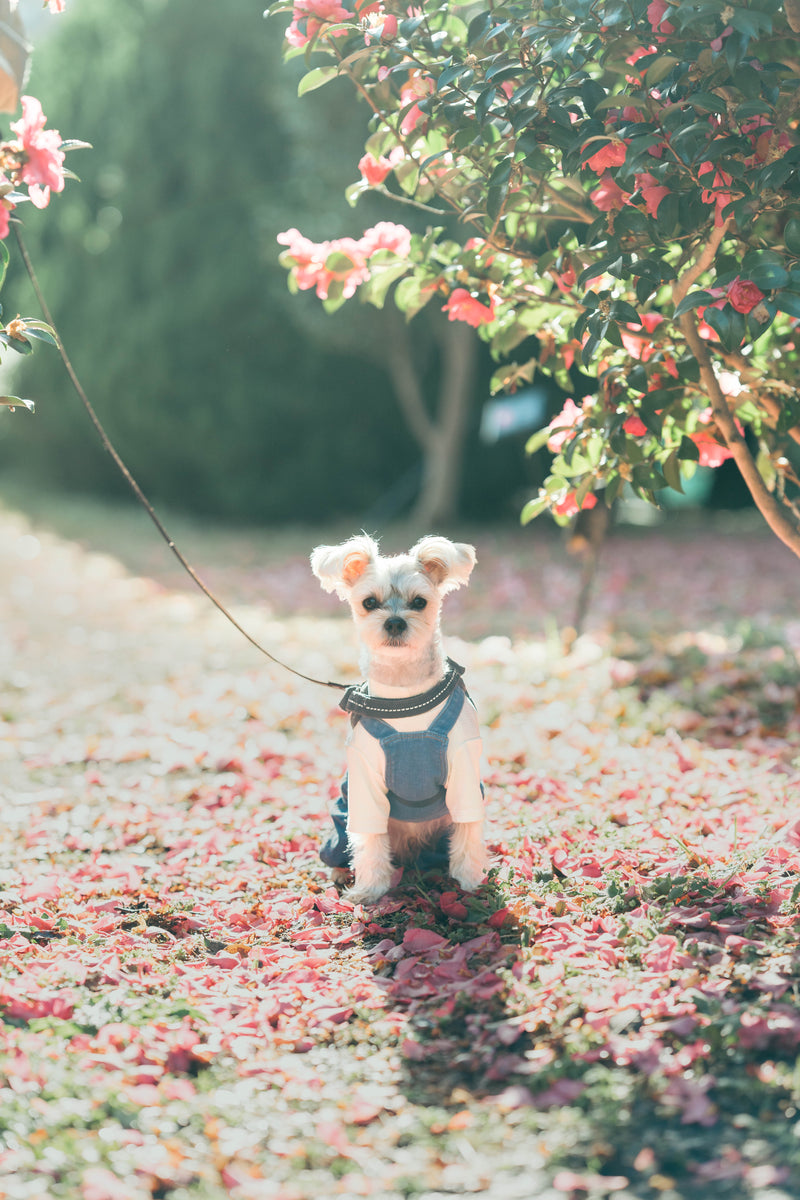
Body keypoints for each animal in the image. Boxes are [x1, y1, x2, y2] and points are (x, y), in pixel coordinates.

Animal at [311, 535, 489, 902]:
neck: (404, 695)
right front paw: (369, 891)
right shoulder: (363, 782)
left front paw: (468, 883)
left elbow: (467, 833)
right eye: (369, 602)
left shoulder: (465, 772)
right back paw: (340, 872)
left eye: (419, 602)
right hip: (341, 815)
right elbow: (369, 842)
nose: (394, 622)